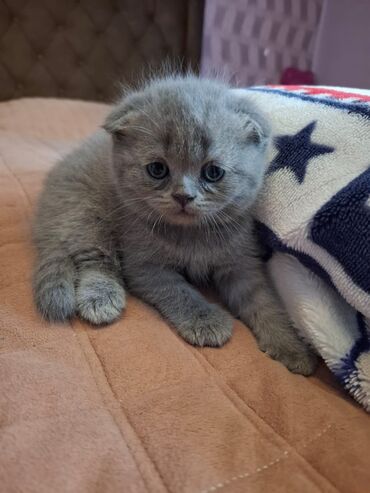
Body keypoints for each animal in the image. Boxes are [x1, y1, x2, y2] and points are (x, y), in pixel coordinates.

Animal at [31, 74, 316, 372]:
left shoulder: (242, 264)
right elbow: (179, 291)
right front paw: (206, 321)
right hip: (86, 215)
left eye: (213, 172)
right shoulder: (145, 267)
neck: (192, 236)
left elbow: (265, 301)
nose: (183, 196)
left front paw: (291, 346)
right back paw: (100, 299)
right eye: (157, 169)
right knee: (96, 262)